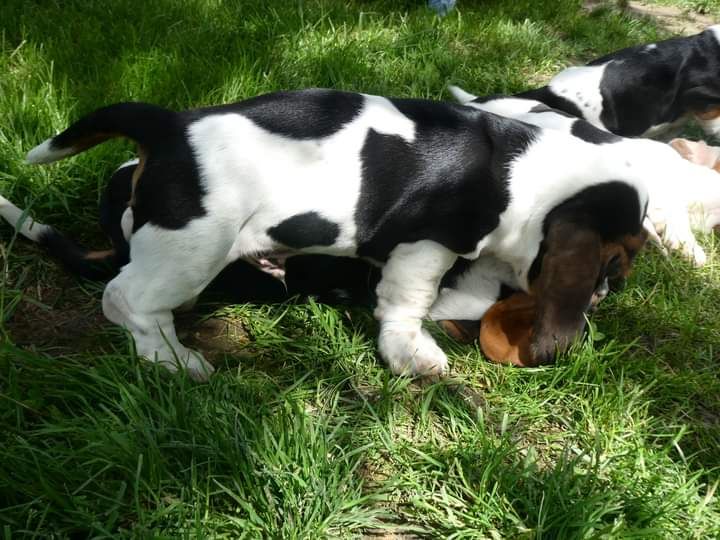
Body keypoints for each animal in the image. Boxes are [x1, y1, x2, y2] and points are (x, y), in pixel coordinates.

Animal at [7, 89, 648, 380]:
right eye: (616, 264)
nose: (604, 296)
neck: (527, 170)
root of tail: (168, 125)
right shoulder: (425, 247)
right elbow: (409, 303)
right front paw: (413, 353)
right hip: (193, 247)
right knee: (126, 299)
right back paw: (174, 358)